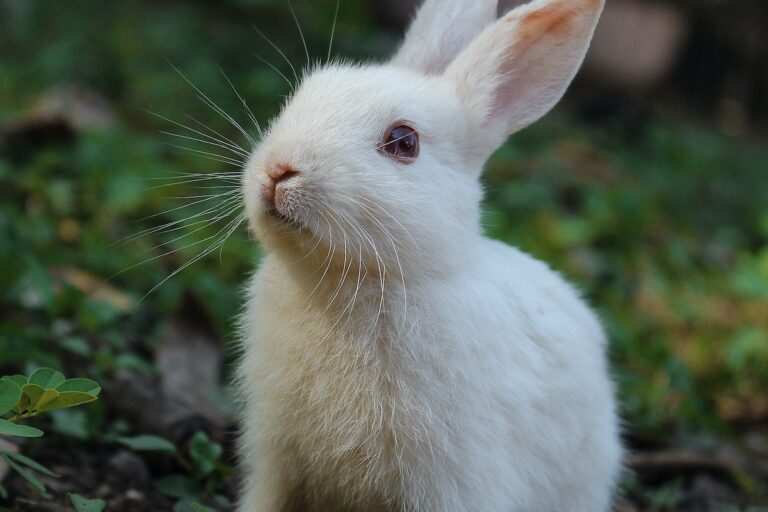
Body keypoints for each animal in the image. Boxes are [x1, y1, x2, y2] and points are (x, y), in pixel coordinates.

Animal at [236, 0, 622, 510]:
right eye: (300, 98)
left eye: (404, 143)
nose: (279, 170)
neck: (348, 279)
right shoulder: (277, 460)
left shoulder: (450, 480)